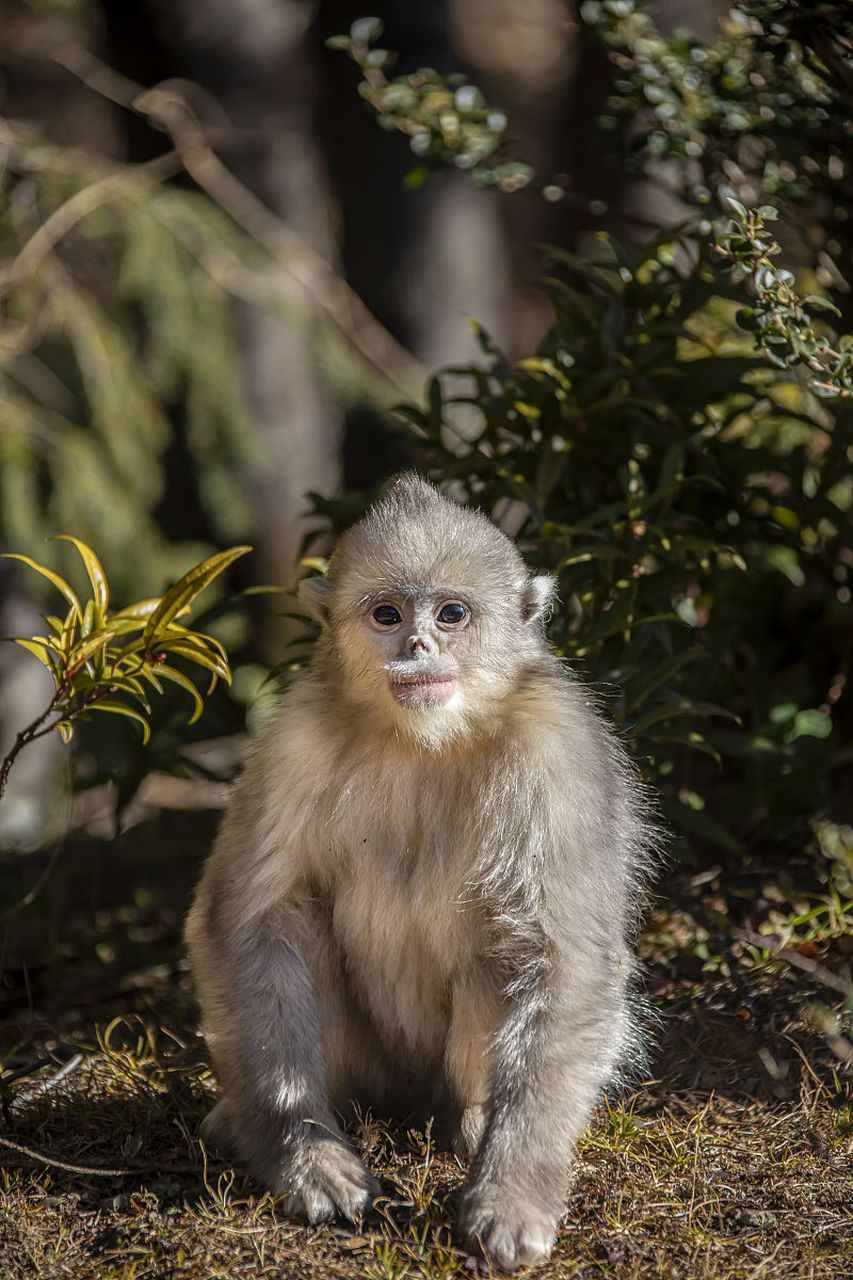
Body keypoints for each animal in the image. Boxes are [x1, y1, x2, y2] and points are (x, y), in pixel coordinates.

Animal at [185, 473, 650, 1269]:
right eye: (387, 614)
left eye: (451, 614)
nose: (416, 646)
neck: (425, 738)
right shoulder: (295, 737)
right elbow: (244, 918)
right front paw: (305, 1156)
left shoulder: (557, 749)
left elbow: (566, 956)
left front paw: (513, 1189)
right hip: (367, 1062)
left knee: (506, 946)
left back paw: (472, 1120)